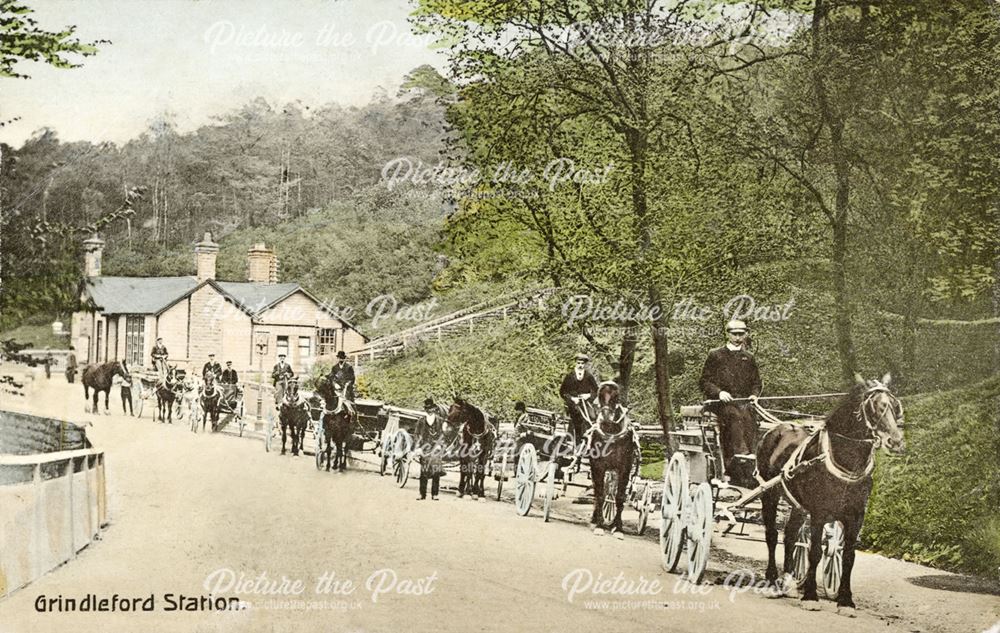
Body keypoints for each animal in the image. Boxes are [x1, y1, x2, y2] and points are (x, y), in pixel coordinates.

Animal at [580, 380, 640, 540]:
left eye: (616, 397)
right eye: (600, 396)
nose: (606, 418)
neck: (612, 436)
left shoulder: (625, 468)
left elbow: (619, 497)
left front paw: (618, 528)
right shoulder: (598, 466)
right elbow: (600, 495)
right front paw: (599, 526)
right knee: (597, 492)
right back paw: (595, 519)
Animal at [756, 372, 908, 616]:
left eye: (895, 407)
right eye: (875, 407)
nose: (896, 441)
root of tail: (776, 429)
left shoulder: (856, 515)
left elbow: (848, 556)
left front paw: (845, 600)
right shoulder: (819, 512)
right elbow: (816, 552)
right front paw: (810, 596)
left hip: (798, 504)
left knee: (790, 535)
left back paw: (788, 581)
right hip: (769, 494)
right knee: (771, 535)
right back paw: (771, 581)